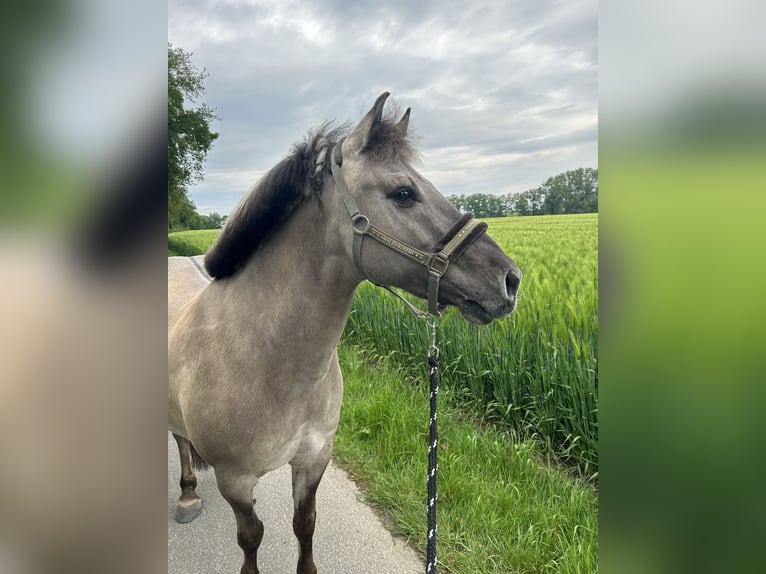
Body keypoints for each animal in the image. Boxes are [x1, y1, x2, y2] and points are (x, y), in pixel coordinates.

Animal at [169, 92, 524, 572]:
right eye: (403, 193)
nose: (510, 280)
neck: (265, 357)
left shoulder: (314, 460)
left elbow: (305, 525)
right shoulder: (236, 481)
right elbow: (251, 537)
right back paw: (187, 495)